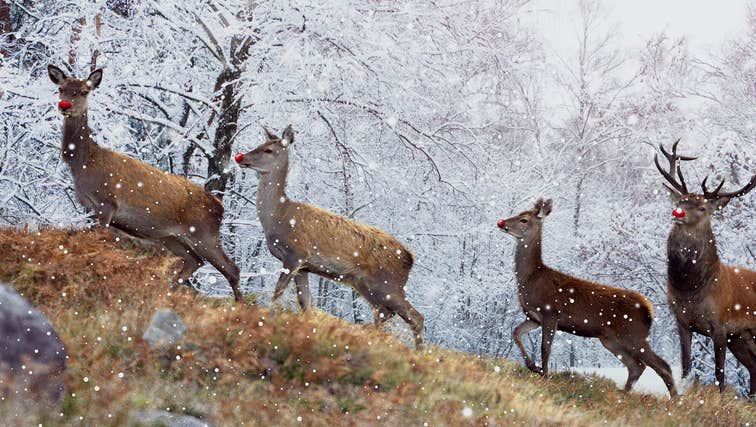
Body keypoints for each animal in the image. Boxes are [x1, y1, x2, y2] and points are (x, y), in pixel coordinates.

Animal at [47, 65, 242, 301]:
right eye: (61, 89)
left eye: (84, 91)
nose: (64, 105)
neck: (84, 163)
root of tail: (220, 206)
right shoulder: (91, 207)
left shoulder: (107, 203)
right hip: (170, 237)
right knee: (194, 261)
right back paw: (166, 294)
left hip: (203, 232)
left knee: (231, 269)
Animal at [233, 125, 424, 347]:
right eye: (260, 144)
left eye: (268, 150)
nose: (240, 157)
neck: (278, 216)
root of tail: (410, 258)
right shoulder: (304, 266)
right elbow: (305, 303)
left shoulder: (295, 253)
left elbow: (278, 290)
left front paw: (264, 320)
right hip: (365, 284)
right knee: (385, 312)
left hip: (388, 284)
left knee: (415, 316)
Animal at [497, 198, 677, 396]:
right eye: (519, 213)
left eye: (524, 220)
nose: (502, 223)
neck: (531, 278)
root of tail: (649, 309)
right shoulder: (533, 317)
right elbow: (516, 332)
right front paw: (533, 367)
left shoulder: (550, 312)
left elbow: (546, 347)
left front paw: (544, 376)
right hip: (609, 339)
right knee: (637, 365)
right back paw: (624, 393)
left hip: (634, 334)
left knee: (662, 366)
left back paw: (675, 399)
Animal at [654, 140, 755, 397]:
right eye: (680, 201)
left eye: (702, 208)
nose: (677, 212)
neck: (692, 289)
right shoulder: (681, 320)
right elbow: (686, 366)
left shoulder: (719, 324)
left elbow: (720, 373)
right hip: (741, 337)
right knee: (754, 366)